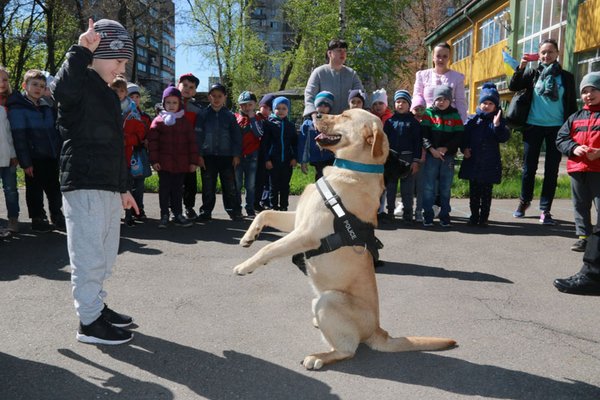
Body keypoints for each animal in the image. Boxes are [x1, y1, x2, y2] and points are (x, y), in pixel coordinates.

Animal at [233, 108, 454, 368]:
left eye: (345, 116)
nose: (315, 114)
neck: (350, 170)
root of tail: (379, 331)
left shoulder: (307, 233)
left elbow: (269, 249)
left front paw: (245, 266)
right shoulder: (298, 220)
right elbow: (265, 213)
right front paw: (249, 237)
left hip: (328, 300)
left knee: (347, 350)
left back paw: (318, 357)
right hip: (317, 300)